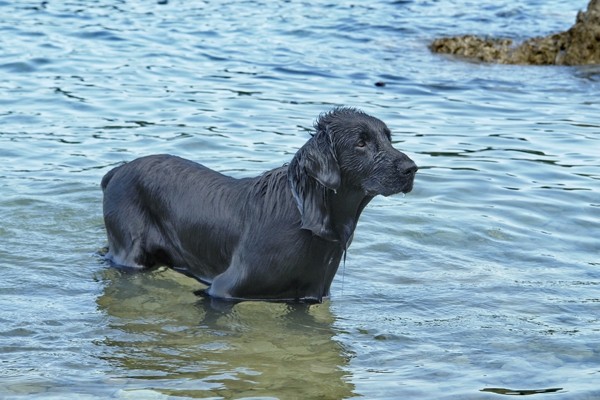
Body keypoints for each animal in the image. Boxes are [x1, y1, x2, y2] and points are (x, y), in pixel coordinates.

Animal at [101, 108, 418, 302]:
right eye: (361, 143)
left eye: (388, 139)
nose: (412, 168)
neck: (308, 220)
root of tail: (117, 170)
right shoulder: (222, 289)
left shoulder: (309, 297)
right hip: (130, 252)